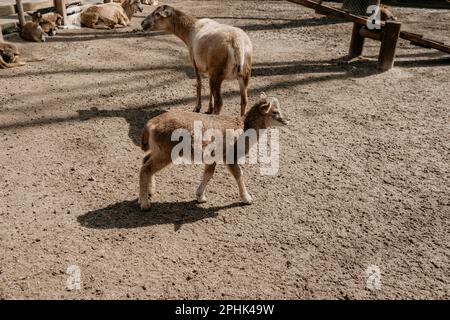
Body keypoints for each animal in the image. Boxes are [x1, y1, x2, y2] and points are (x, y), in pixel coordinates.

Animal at [138, 92, 288, 211]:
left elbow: (208, 174)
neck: (243, 129)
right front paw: (247, 199)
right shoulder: (229, 156)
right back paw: (144, 204)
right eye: (274, 111)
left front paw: (200, 197)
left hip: (158, 150)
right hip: (166, 153)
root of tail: (151, 123)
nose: (286, 121)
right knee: (145, 169)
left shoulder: (213, 158)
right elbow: (238, 174)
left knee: (145, 161)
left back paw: (149, 193)